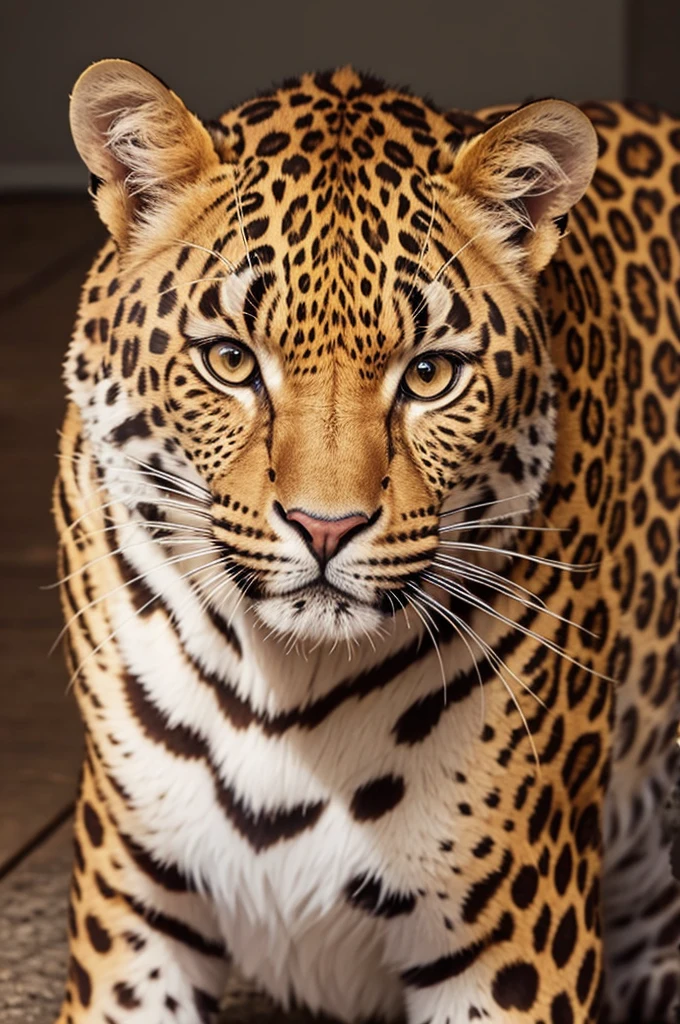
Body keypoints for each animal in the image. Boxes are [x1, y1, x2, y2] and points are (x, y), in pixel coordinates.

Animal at [53, 59, 680, 1024]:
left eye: (429, 375)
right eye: (231, 361)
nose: (327, 526)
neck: (286, 688)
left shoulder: (512, 951)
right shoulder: (133, 917)